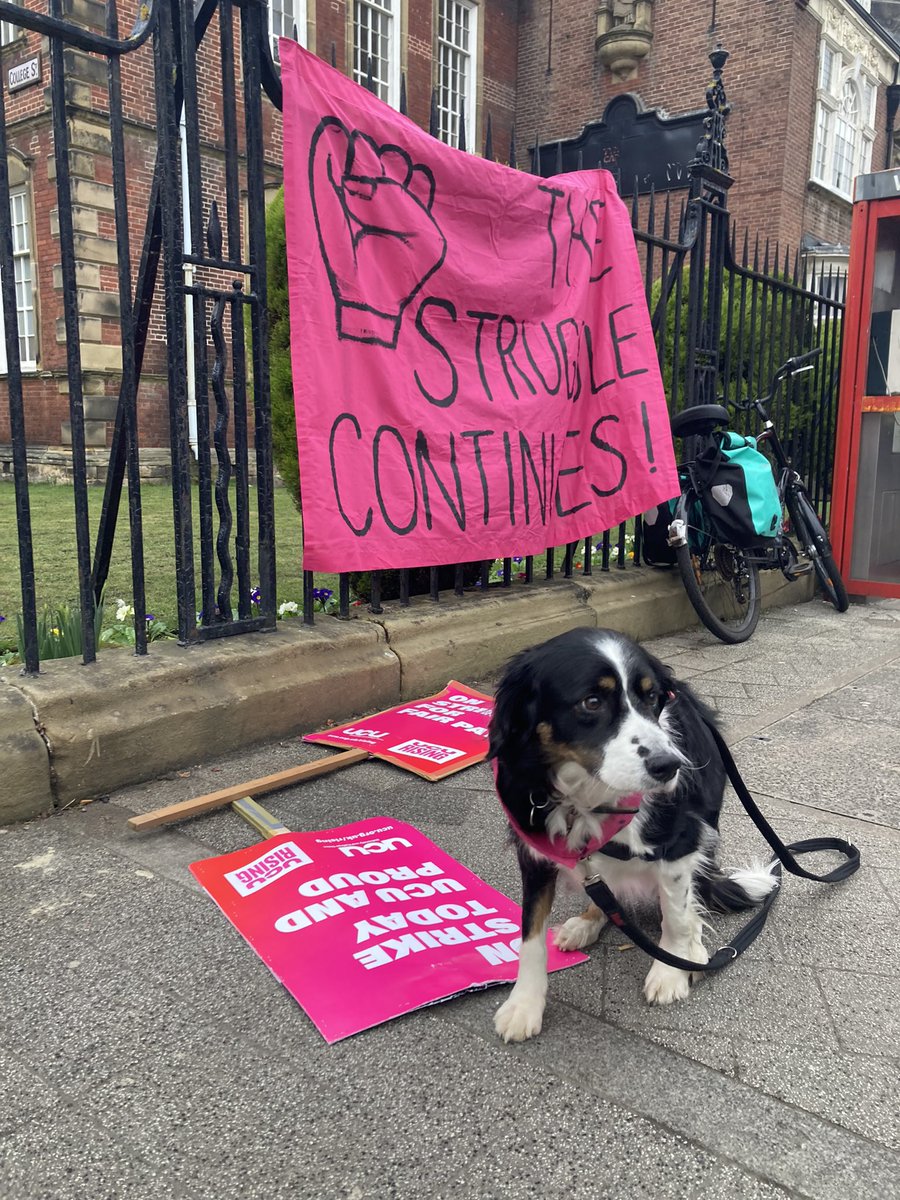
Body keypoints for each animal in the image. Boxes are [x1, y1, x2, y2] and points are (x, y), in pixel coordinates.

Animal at [489, 628, 777, 1041]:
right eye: (592, 702)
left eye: (653, 697)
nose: (669, 765)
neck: (588, 796)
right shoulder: (535, 850)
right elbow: (530, 935)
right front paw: (524, 1004)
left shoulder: (680, 842)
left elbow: (675, 915)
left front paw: (671, 969)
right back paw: (587, 922)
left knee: (689, 901)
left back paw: (693, 950)